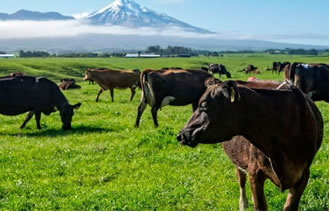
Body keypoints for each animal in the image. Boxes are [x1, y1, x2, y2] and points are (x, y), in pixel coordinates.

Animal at [177, 80, 324, 210]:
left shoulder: (303, 174)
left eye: (204, 106)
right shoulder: (254, 172)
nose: (181, 135)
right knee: (241, 181)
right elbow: (260, 206)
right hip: (238, 162)